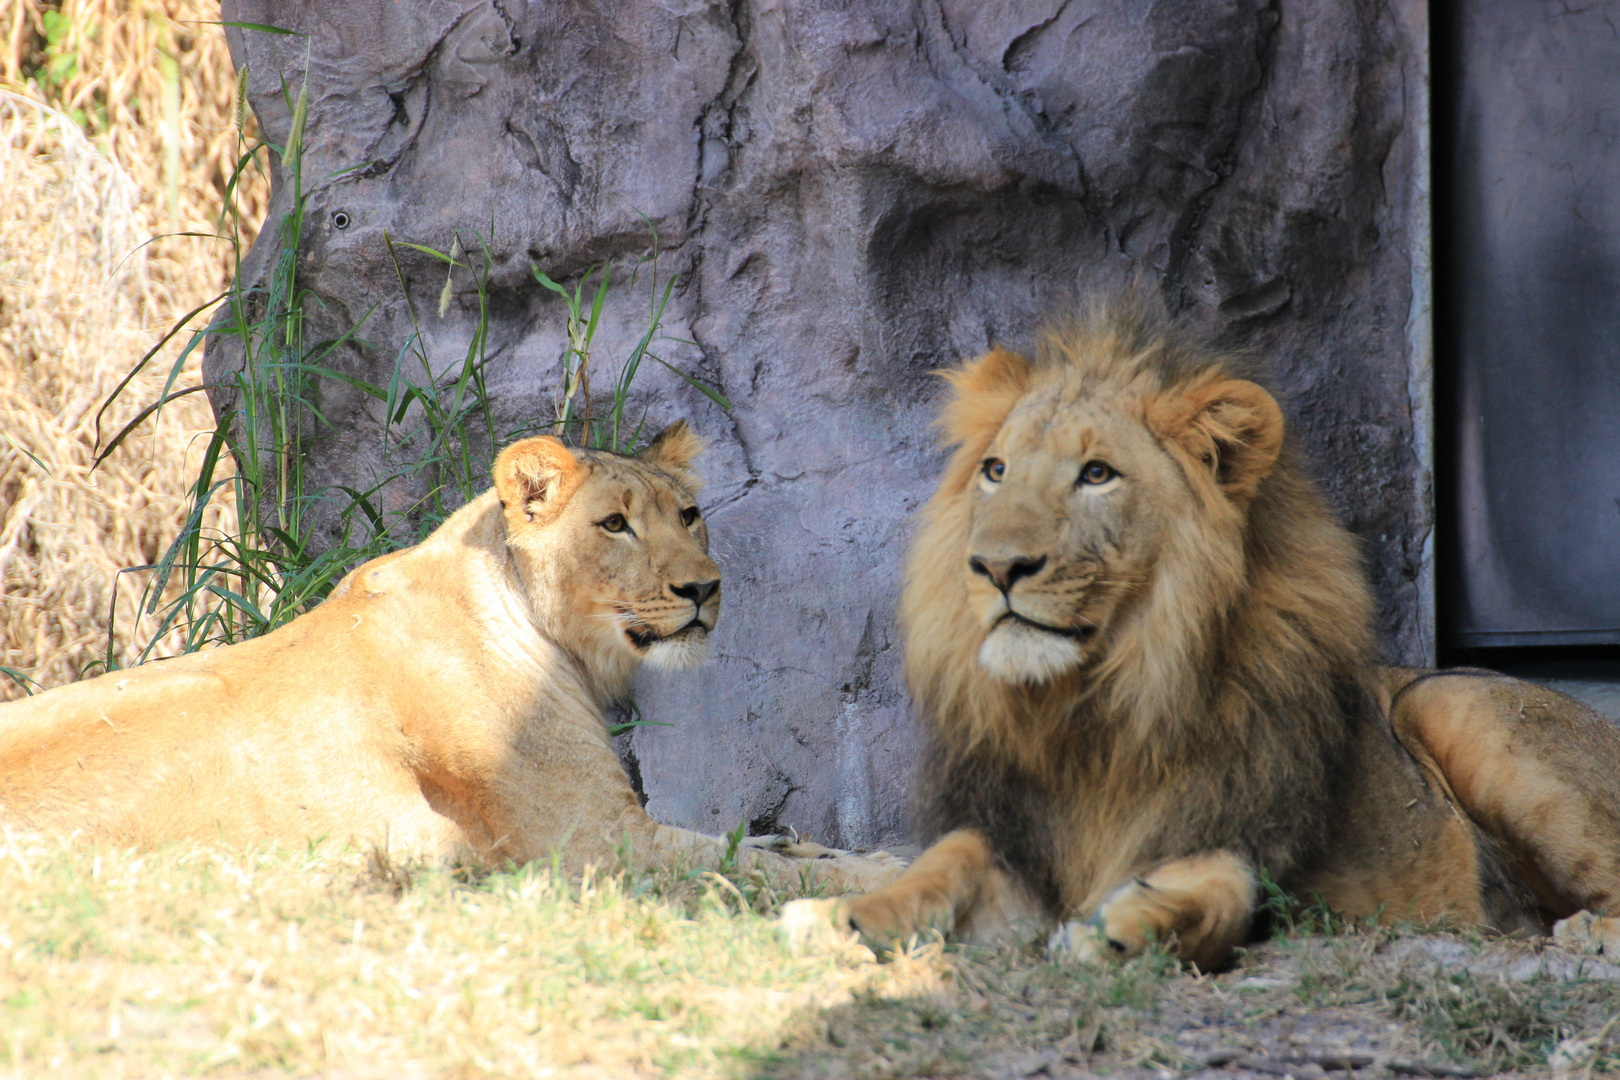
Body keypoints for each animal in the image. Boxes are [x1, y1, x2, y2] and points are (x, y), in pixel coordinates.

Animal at [0, 427, 900, 893]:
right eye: (614, 525)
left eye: (689, 514)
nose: (704, 588)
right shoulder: (597, 846)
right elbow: (760, 869)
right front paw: (889, 876)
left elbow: (764, 847)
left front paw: (844, 852)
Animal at [810, 297, 1620, 971]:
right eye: (995, 470)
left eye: (1097, 473)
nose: (994, 567)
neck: (1093, 707)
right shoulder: (1018, 843)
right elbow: (947, 858)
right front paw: (845, 917)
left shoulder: (1250, 844)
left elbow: (1220, 891)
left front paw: (1122, 930)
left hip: (1455, 708)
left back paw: (1583, 932)